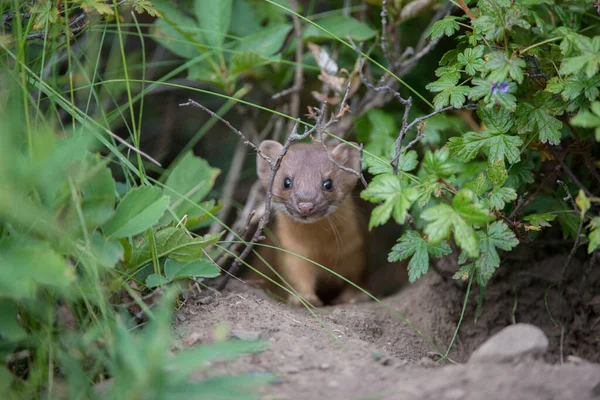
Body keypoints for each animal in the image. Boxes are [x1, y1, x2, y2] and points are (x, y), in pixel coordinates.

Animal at [250, 141, 370, 306]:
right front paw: (304, 299)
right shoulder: (293, 253)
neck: (322, 253)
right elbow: (298, 277)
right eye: (286, 182)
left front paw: (354, 296)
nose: (305, 205)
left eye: (328, 183)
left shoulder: (355, 251)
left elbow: (357, 277)